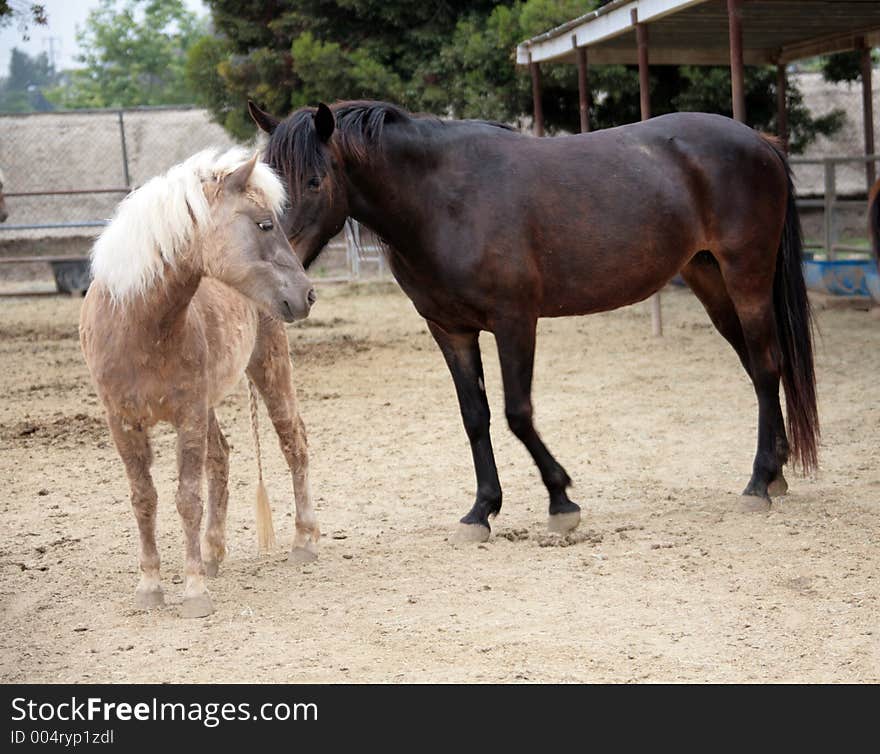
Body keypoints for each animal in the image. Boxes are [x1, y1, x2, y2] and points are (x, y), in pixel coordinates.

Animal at [81, 148, 322, 616]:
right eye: (264, 224)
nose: (307, 294)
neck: (139, 326)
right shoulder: (123, 422)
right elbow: (144, 499)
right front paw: (150, 586)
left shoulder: (187, 415)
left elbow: (187, 498)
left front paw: (193, 591)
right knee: (221, 458)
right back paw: (213, 553)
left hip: (269, 368)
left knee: (293, 443)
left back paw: (303, 541)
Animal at [249, 100, 820, 540]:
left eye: (314, 181)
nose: (283, 286)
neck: (443, 200)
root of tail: (759, 140)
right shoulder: (450, 329)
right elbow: (475, 417)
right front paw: (481, 510)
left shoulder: (515, 321)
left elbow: (517, 413)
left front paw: (560, 500)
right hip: (710, 281)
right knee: (758, 365)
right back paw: (776, 472)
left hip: (746, 277)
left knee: (766, 367)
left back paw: (758, 482)